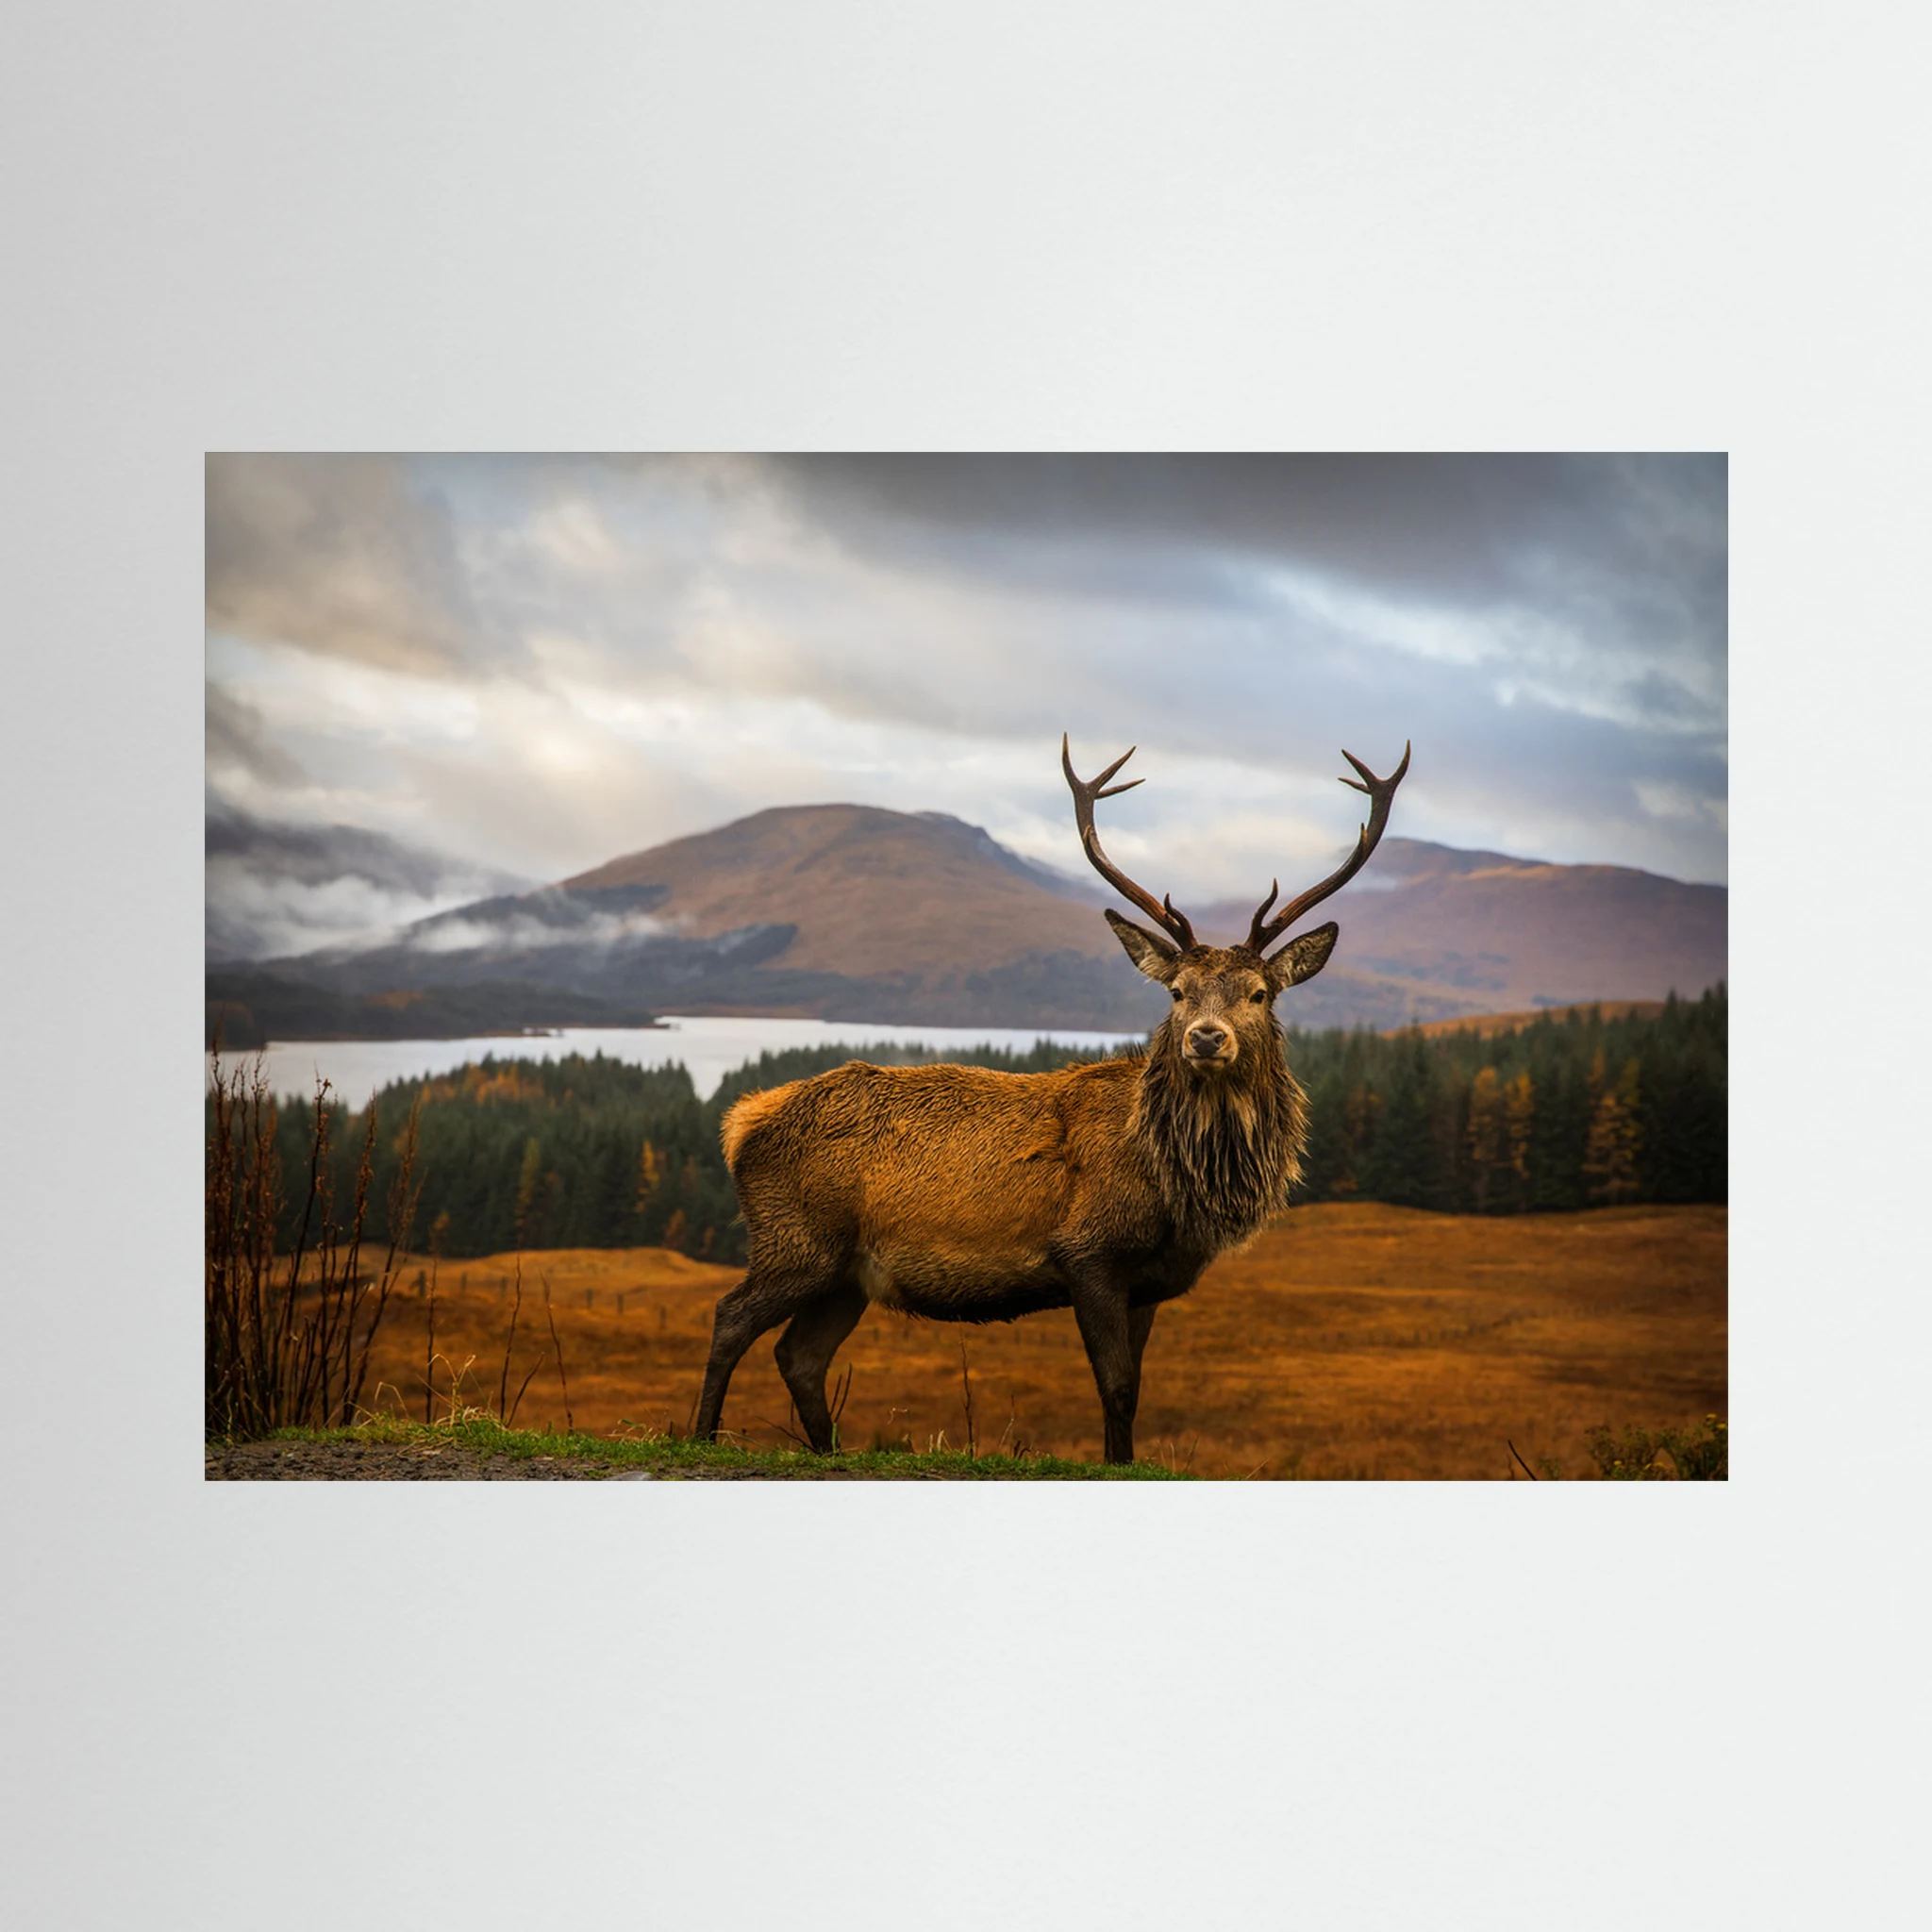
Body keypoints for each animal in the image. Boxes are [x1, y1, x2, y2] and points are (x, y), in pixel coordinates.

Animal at [694, 731, 1411, 1464]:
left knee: (799, 1356)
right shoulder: (1086, 1252)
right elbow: (1115, 1387)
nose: (1207, 1038)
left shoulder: (1149, 1283)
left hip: (845, 1275)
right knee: (729, 1318)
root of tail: (742, 1121)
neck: (1178, 1188)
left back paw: (827, 1451)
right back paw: (700, 1434)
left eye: (1260, 993)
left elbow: (1135, 1389)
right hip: (796, 1240)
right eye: (1176, 992)